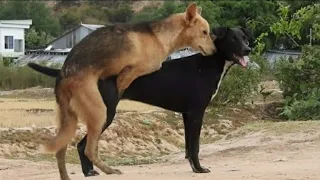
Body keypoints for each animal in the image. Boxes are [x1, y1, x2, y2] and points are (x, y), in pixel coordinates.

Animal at [27, 26, 251, 177]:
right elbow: (195, 146)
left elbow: (189, 146)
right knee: (83, 145)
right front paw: (200, 168)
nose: (248, 49)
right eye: (233, 39)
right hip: (106, 113)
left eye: (244, 37)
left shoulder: (188, 115)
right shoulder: (196, 113)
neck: (208, 64)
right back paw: (91, 171)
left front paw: (193, 167)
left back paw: (91, 172)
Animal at [43, 1, 215, 180]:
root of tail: (63, 73)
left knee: (60, 151)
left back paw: (68, 176)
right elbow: (124, 80)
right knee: (89, 150)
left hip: (68, 121)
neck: (160, 36)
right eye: (204, 32)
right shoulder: (134, 70)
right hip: (99, 113)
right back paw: (109, 170)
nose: (214, 51)